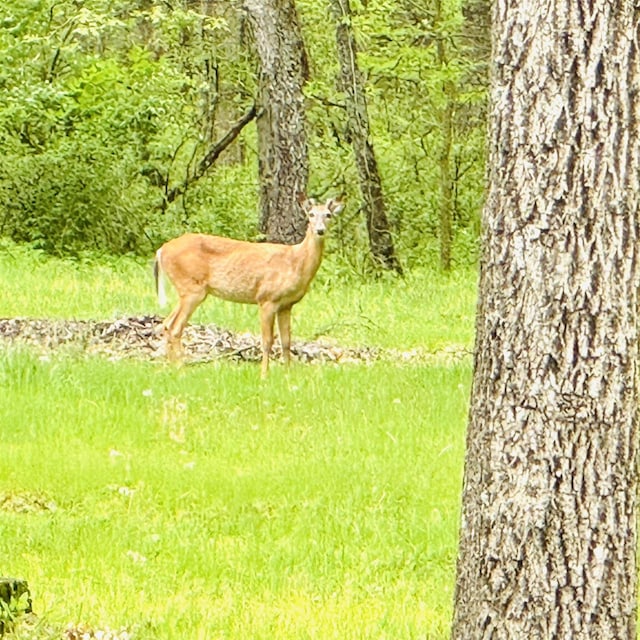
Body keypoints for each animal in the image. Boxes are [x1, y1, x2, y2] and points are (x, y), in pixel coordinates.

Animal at [154, 195, 344, 376]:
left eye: (328, 215)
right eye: (311, 214)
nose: (320, 230)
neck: (296, 261)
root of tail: (161, 250)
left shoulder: (286, 304)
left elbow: (286, 341)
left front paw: (288, 374)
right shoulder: (267, 298)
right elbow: (267, 341)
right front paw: (264, 375)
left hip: (186, 290)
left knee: (167, 323)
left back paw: (172, 368)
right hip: (193, 288)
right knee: (175, 327)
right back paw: (181, 370)